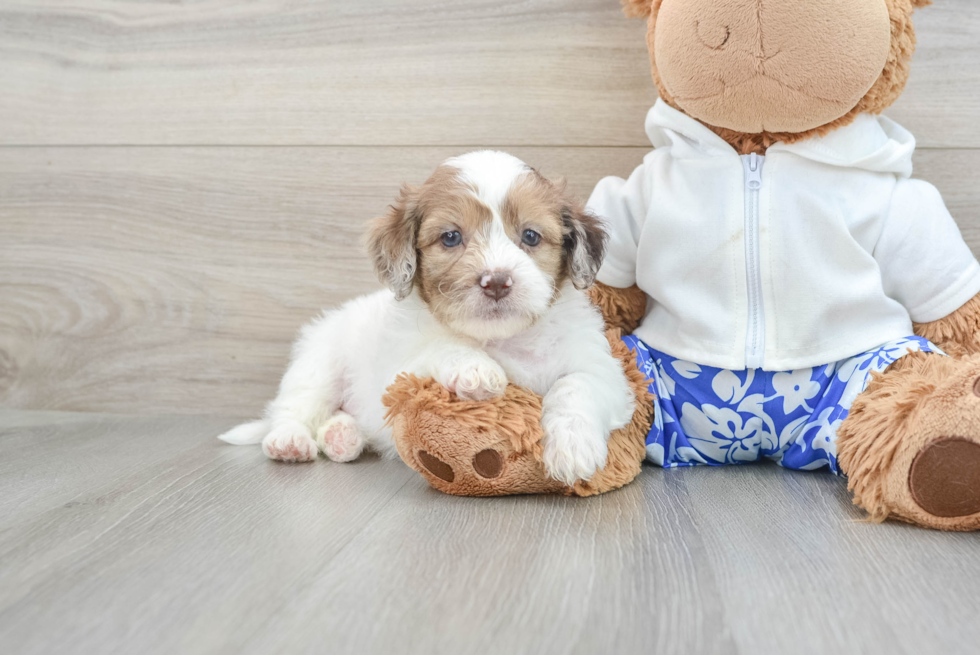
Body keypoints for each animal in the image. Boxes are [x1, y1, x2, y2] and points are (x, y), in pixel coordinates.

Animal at [219, 150, 636, 486]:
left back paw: (342, 437)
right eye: (451, 237)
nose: (496, 282)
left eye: (531, 236)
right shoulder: (399, 370)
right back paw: (288, 441)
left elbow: (576, 386)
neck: (502, 338)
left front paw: (573, 448)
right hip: (319, 364)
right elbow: (440, 346)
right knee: (293, 407)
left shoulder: (601, 368)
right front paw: (475, 370)